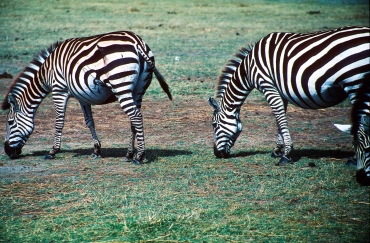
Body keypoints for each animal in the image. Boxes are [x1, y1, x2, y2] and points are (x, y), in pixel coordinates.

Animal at [1, 29, 172, 164]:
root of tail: (137, 42)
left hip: (121, 85)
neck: (46, 72)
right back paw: (130, 154)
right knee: (134, 120)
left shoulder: (59, 89)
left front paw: (53, 151)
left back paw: (139, 156)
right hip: (138, 89)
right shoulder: (83, 96)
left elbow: (59, 122)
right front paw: (96, 150)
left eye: (10, 122)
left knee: (135, 116)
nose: (8, 152)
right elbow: (90, 122)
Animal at [207, 25, 368, 182]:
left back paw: (353, 159)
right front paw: (277, 150)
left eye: (214, 125)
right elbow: (279, 119)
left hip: (355, 82)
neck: (248, 69)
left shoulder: (268, 86)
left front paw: (286, 154)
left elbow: (280, 118)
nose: (217, 154)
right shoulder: (279, 91)